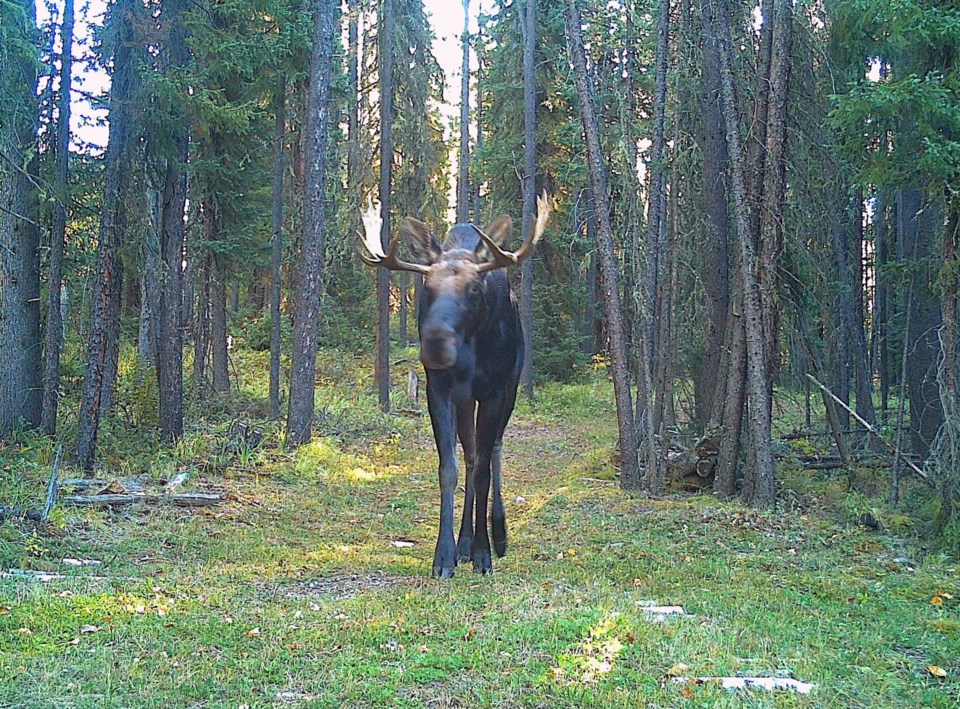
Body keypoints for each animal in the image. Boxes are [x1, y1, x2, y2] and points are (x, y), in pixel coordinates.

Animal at [360, 192, 552, 576]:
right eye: (427, 287)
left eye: (475, 288)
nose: (435, 343)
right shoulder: (440, 391)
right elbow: (449, 469)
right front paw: (446, 554)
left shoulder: (494, 392)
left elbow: (483, 473)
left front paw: (483, 553)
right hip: (465, 400)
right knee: (472, 454)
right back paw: (464, 543)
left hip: (509, 391)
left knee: (493, 450)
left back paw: (498, 535)